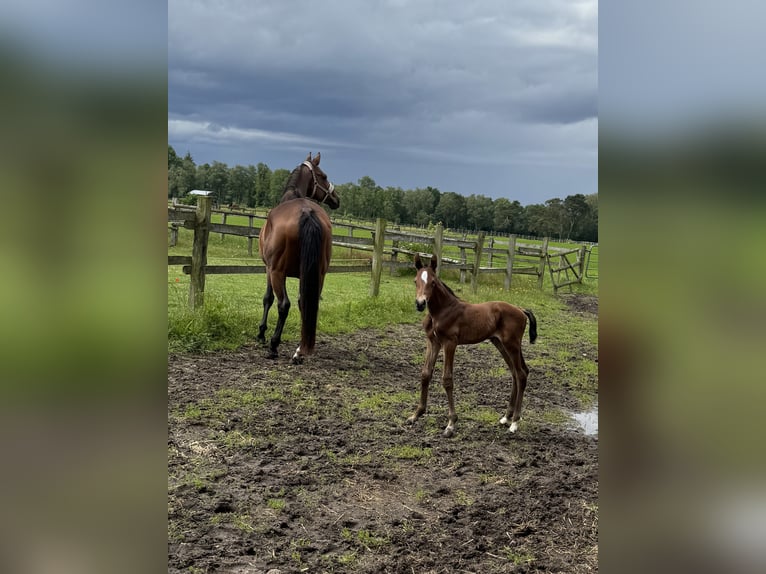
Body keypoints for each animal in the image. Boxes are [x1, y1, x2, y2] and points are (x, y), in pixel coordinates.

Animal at [258, 151, 340, 362]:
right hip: (319, 274)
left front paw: (261, 333)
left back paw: (274, 346)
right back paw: (300, 350)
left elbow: (268, 298)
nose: (336, 199)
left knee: (283, 304)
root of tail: (307, 212)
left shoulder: (268, 269)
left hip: (277, 273)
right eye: (323, 176)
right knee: (307, 304)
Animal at [408, 254, 540, 438]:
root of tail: (521, 310)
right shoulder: (433, 341)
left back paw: (514, 423)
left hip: (511, 344)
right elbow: (426, 374)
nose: (420, 303)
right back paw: (506, 417)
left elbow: (447, 379)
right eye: (415, 281)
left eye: (433, 282)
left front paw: (451, 424)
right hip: (500, 343)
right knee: (516, 372)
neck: (442, 311)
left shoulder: (450, 343)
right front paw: (416, 414)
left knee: (520, 374)